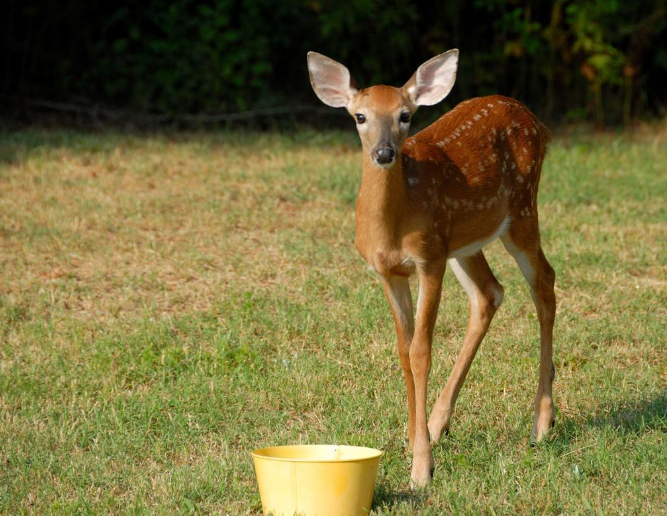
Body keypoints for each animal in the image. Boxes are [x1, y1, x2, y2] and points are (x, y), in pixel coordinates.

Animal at [308, 49, 560, 488]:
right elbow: (403, 350)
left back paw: (542, 422)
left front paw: (421, 468)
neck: (393, 226)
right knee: (490, 292)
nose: (384, 153)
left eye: (405, 115)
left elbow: (422, 351)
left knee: (545, 283)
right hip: (463, 241)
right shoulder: (390, 273)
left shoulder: (428, 261)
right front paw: (414, 437)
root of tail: (533, 118)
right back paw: (440, 422)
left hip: (521, 210)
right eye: (360, 116)